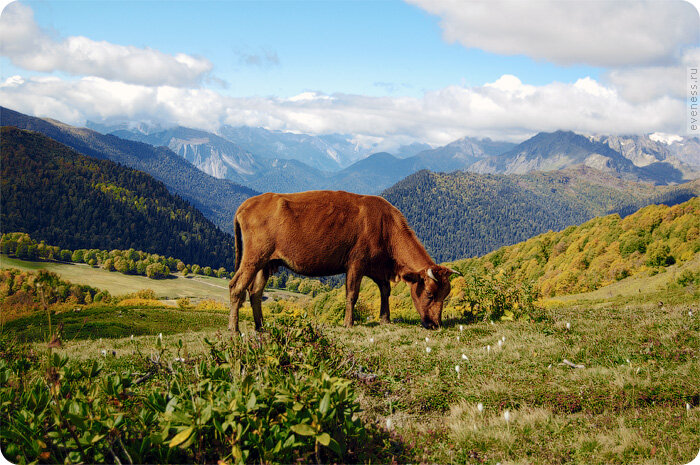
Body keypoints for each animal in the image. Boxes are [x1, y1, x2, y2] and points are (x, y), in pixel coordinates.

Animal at [230, 190, 460, 332]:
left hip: (265, 263)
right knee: (237, 286)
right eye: (429, 294)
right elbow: (352, 294)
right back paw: (234, 329)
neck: (386, 226)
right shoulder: (356, 262)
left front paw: (385, 319)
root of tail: (247, 203)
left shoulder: (377, 267)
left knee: (255, 292)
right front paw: (349, 323)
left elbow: (385, 290)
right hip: (253, 258)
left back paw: (261, 327)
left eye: (445, 295)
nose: (435, 324)